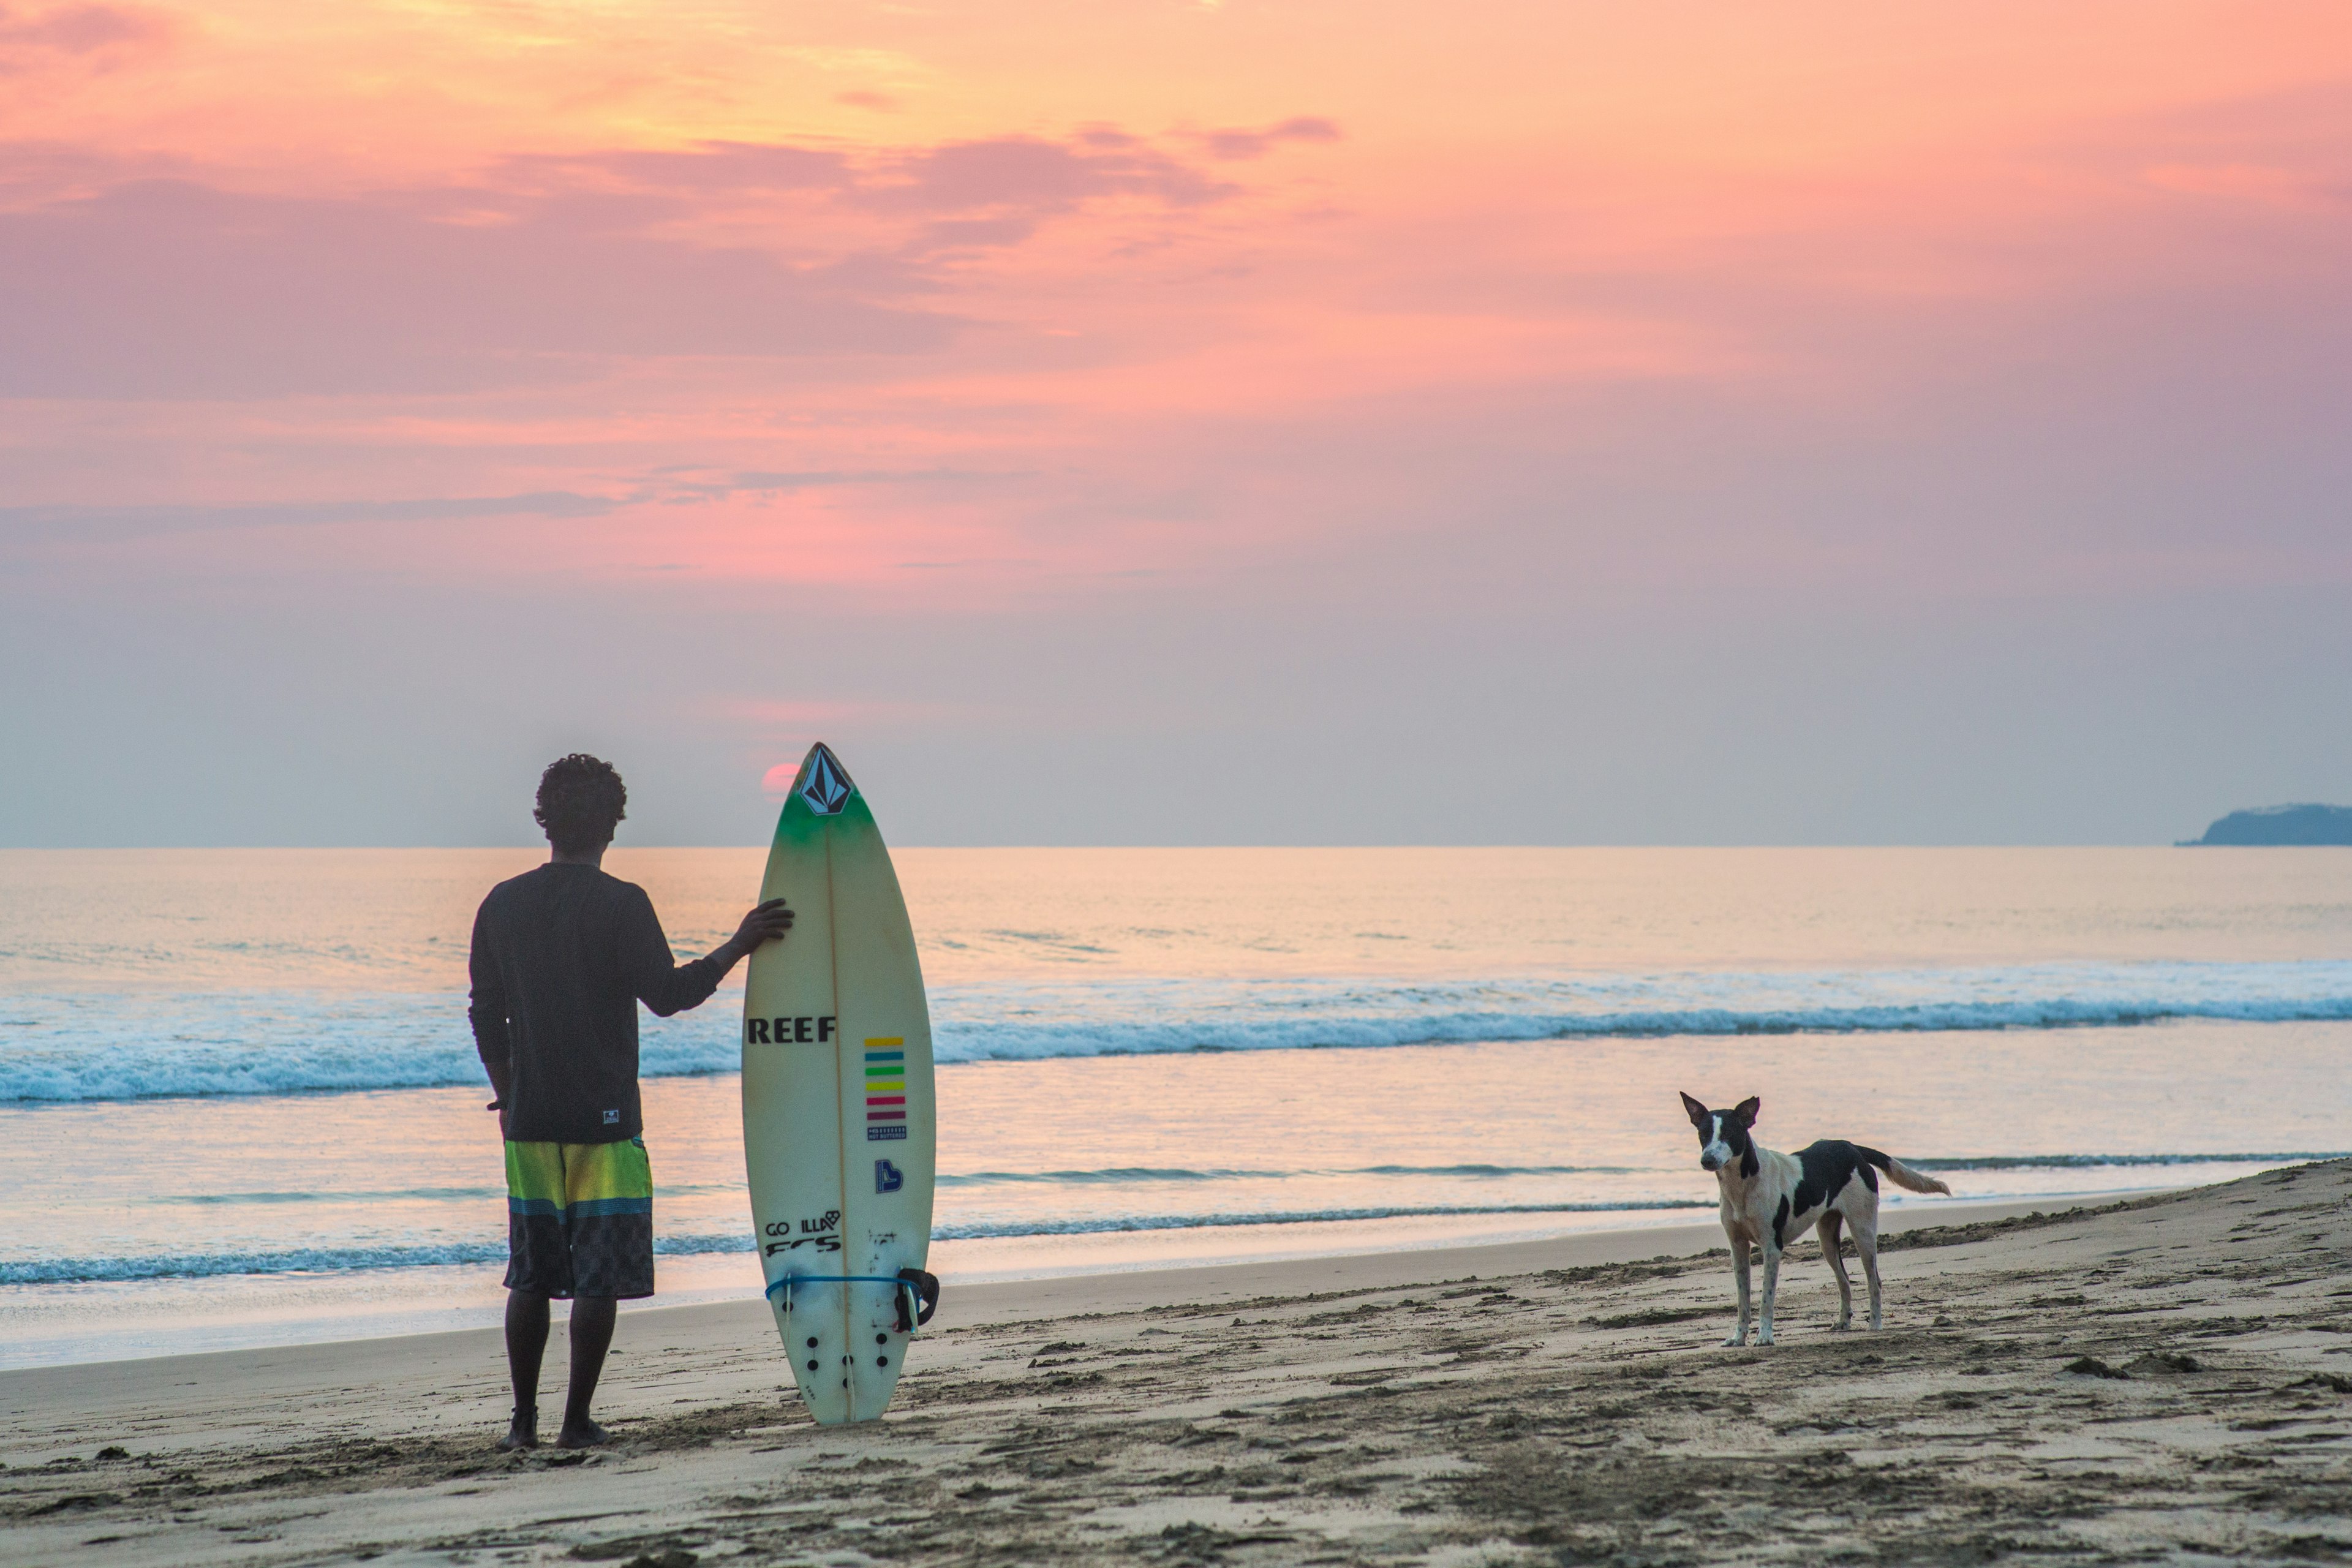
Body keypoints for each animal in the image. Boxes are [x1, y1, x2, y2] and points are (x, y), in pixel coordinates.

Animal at [1684, 1090, 1956, 1354]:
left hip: (1863, 1231)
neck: (1744, 1184)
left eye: (1729, 1134)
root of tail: (1852, 1148)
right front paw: (1738, 1338)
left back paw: (1876, 1324)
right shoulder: (1738, 1248)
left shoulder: (1772, 1249)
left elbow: (1766, 1299)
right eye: (1703, 1134)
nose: (1707, 1160)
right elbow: (1743, 1301)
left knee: (1874, 1281)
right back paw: (1843, 1322)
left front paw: (1765, 1337)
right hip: (1827, 1239)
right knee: (1844, 1280)